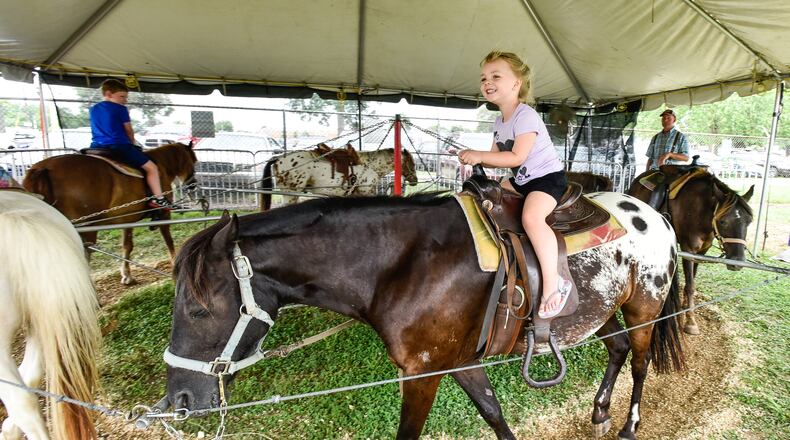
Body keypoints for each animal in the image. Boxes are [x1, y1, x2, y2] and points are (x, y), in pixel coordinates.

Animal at [22, 143, 198, 285]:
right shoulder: (164, 215)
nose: (193, 184)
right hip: (86, 226)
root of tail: (43, 169)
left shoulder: (127, 217)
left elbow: (127, 245)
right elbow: (168, 239)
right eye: (194, 161)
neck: (161, 164)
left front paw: (127, 275)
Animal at [164, 188, 685, 439]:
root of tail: (655, 215)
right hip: (601, 311)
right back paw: (599, 411)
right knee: (618, 349)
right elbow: (494, 414)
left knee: (640, 362)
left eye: (197, 308)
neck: (401, 264)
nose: (178, 401)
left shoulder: (422, 372)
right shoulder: (459, 362)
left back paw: (629, 425)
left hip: (643, 308)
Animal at [259, 147, 418, 210]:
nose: (415, 180)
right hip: (291, 193)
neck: (371, 165)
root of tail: (278, 158)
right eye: (411, 162)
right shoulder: (366, 191)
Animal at [627, 167, 754, 334]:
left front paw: (685, 306)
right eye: (723, 221)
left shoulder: (702, 252)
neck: (701, 210)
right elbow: (690, 285)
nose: (737, 262)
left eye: (749, 221)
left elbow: (692, 279)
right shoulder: (689, 250)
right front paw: (690, 321)